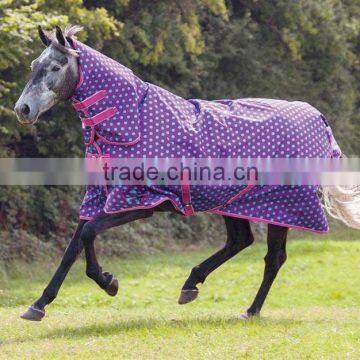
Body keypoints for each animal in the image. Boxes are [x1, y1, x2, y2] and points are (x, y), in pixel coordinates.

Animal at [14, 26, 360, 322]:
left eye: (56, 66)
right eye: (34, 64)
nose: (23, 110)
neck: (133, 125)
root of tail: (318, 119)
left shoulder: (140, 203)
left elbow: (87, 235)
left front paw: (108, 282)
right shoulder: (100, 201)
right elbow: (72, 248)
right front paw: (38, 305)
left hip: (282, 208)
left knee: (273, 258)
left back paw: (250, 310)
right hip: (232, 203)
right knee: (241, 241)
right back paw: (191, 284)